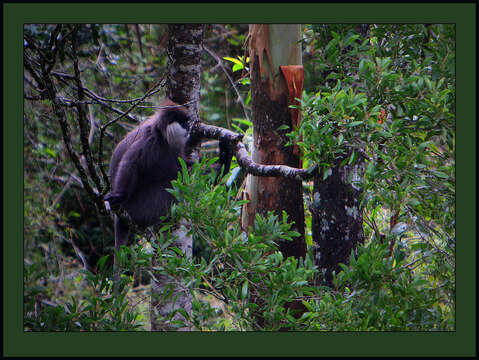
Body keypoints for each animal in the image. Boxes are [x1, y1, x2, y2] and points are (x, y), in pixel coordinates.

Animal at [104, 98, 233, 256]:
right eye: (183, 123)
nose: (188, 129)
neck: (162, 136)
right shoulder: (149, 141)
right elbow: (130, 164)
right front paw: (118, 196)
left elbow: (191, 171)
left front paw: (225, 157)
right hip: (140, 208)